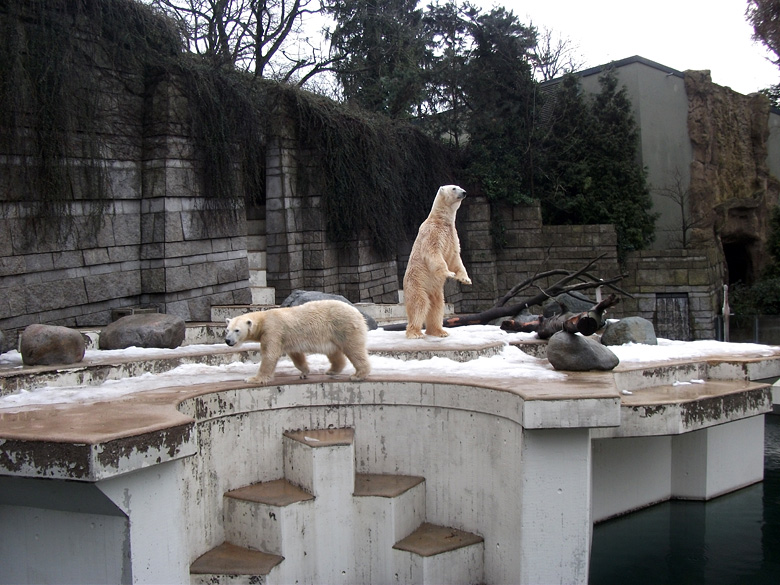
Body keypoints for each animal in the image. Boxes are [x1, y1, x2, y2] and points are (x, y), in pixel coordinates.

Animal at [225, 298, 372, 386]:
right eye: (227, 329)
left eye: (237, 330)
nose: (227, 340)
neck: (264, 318)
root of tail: (358, 313)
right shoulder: (287, 338)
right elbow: (296, 355)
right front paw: (304, 372)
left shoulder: (272, 330)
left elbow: (270, 355)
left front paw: (252, 379)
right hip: (333, 333)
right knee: (334, 352)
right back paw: (331, 371)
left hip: (344, 325)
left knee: (354, 349)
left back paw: (358, 375)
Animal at [406, 182, 472, 338]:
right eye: (454, 188)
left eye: (459, 186)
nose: (464, 192)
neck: (441, 220)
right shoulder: (433, 232)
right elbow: (433, 253)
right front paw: (449, 273)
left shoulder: (452, 236)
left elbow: (455, 258)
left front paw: (465, 279)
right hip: (417, 283)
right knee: (419, 303)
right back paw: (415, 332)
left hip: (435, 291)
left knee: (437, 306)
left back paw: (439, 331)